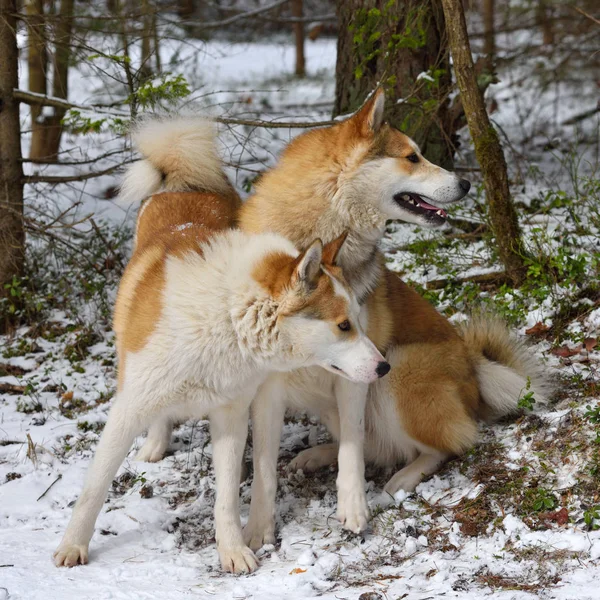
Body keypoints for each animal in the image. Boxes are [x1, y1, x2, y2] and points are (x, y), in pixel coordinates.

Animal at [54, 119, 386, 576]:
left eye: (356, 318)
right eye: (342, 325)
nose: (384, 367)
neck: (225, 318)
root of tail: (185, 181)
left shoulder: (231, 416)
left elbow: (227, 496)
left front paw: (232, 550)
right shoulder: (127, 411)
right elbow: (93, 488)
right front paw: (73, 546)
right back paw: (155, 443)